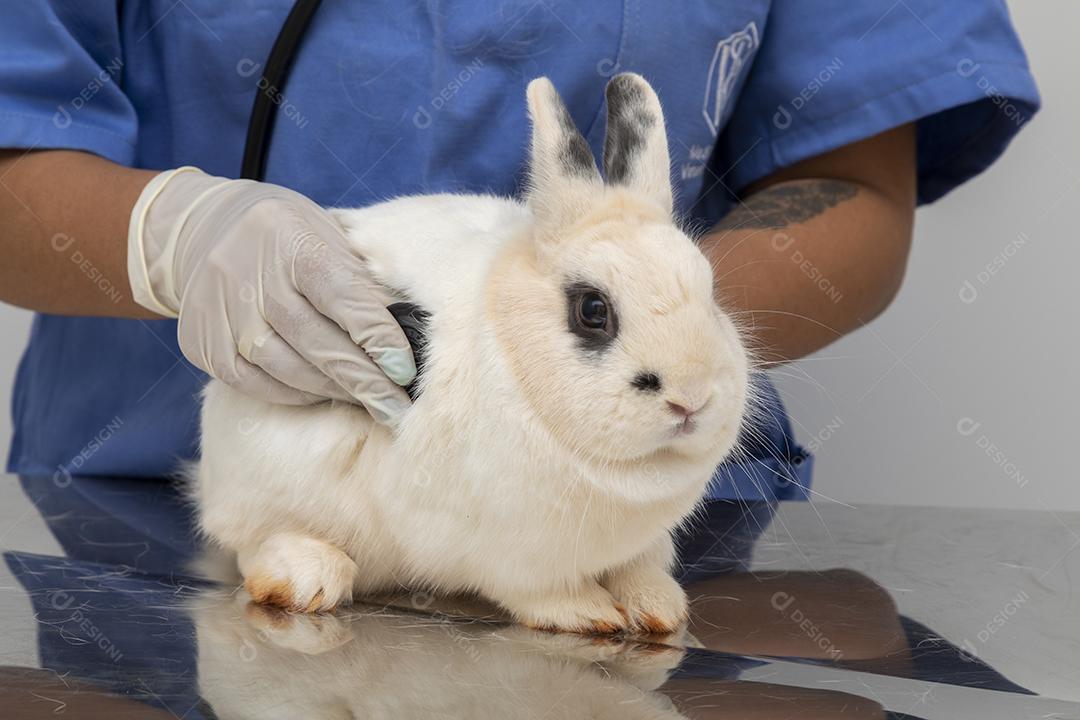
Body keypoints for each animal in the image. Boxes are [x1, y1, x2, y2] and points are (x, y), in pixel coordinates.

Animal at [193, 73, 750, 635]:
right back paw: (306, 577)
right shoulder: (506, 557)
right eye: (593, 310)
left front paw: (659, 609)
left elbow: (641, 570)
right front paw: (590, 615)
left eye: (710, 292)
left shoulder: (639, 545)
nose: (691, 398)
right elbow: (540, 592)